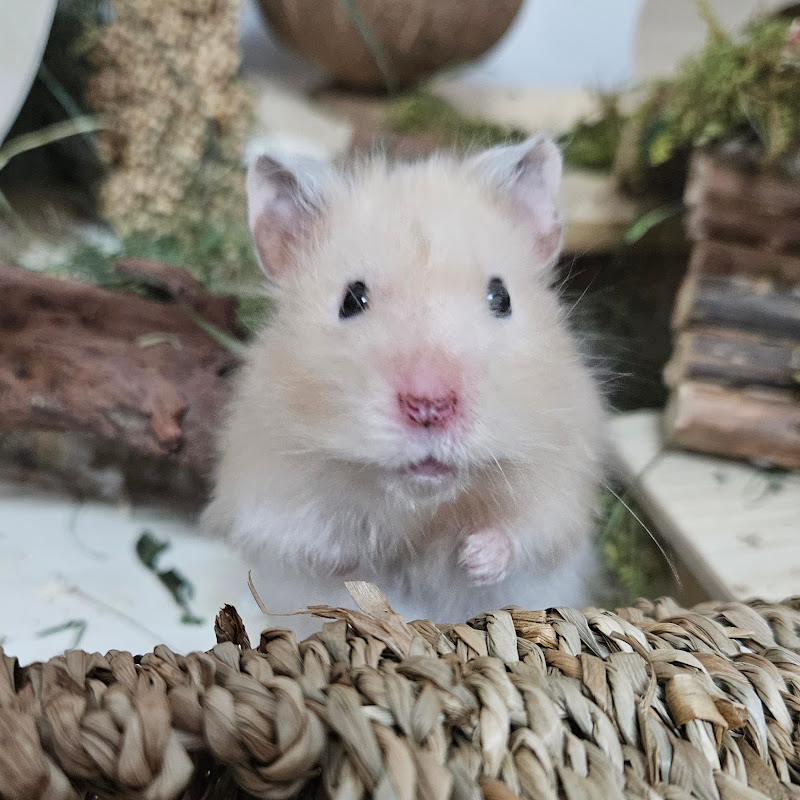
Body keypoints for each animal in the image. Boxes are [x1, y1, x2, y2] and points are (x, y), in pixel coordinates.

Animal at [203, 136, 607, 627]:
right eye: (351, 299)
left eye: (501, 297)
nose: (429, 406)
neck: (421, 505)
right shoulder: (262, 483)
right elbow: (303, 539)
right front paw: (352, 555)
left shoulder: (560, 482)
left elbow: (524, 534)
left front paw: (474, 557)